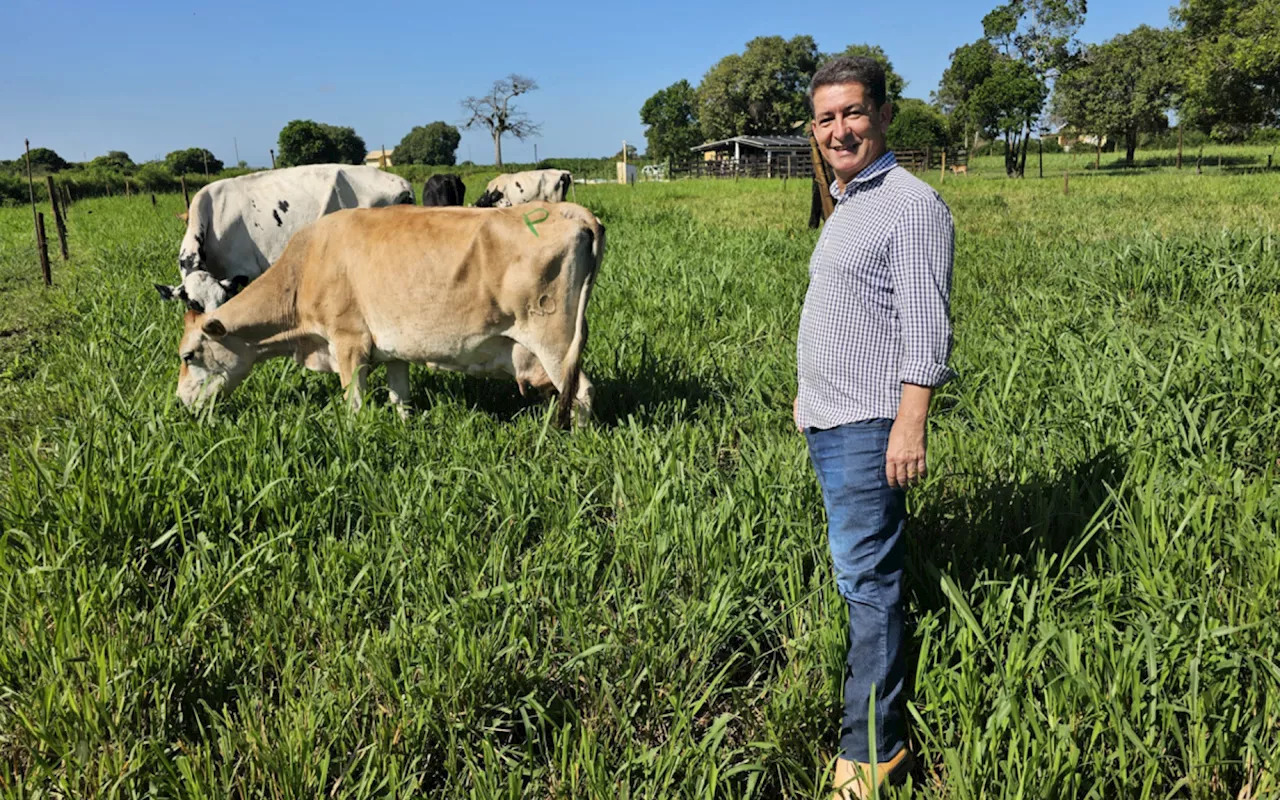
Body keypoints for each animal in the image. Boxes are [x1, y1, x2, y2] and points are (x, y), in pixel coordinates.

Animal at [171, 200, 604, 424]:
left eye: (188, 355)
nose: (179, 401)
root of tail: (570, 210)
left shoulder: (348, 341)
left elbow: (353, 404)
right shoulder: (394, 348)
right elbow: (401, 398)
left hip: (554, 342)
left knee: (582, 392)